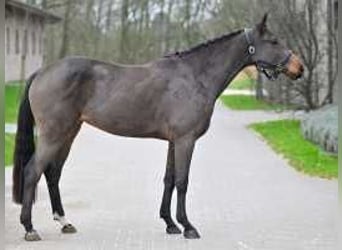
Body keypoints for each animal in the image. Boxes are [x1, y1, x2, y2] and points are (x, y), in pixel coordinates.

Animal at [12, 13, 304, 240]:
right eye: (274, 41)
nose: (299, 68)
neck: (194, 76)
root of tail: (43, 72)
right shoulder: (186, 140)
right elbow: (183, 181)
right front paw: (188, 226)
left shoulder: (174, 141)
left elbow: (169, 179)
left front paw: (170, 224)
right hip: (54, 134)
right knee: (33, 171)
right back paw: (29, 228)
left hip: (69, 132)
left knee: (52, 173)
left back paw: (65, 222)